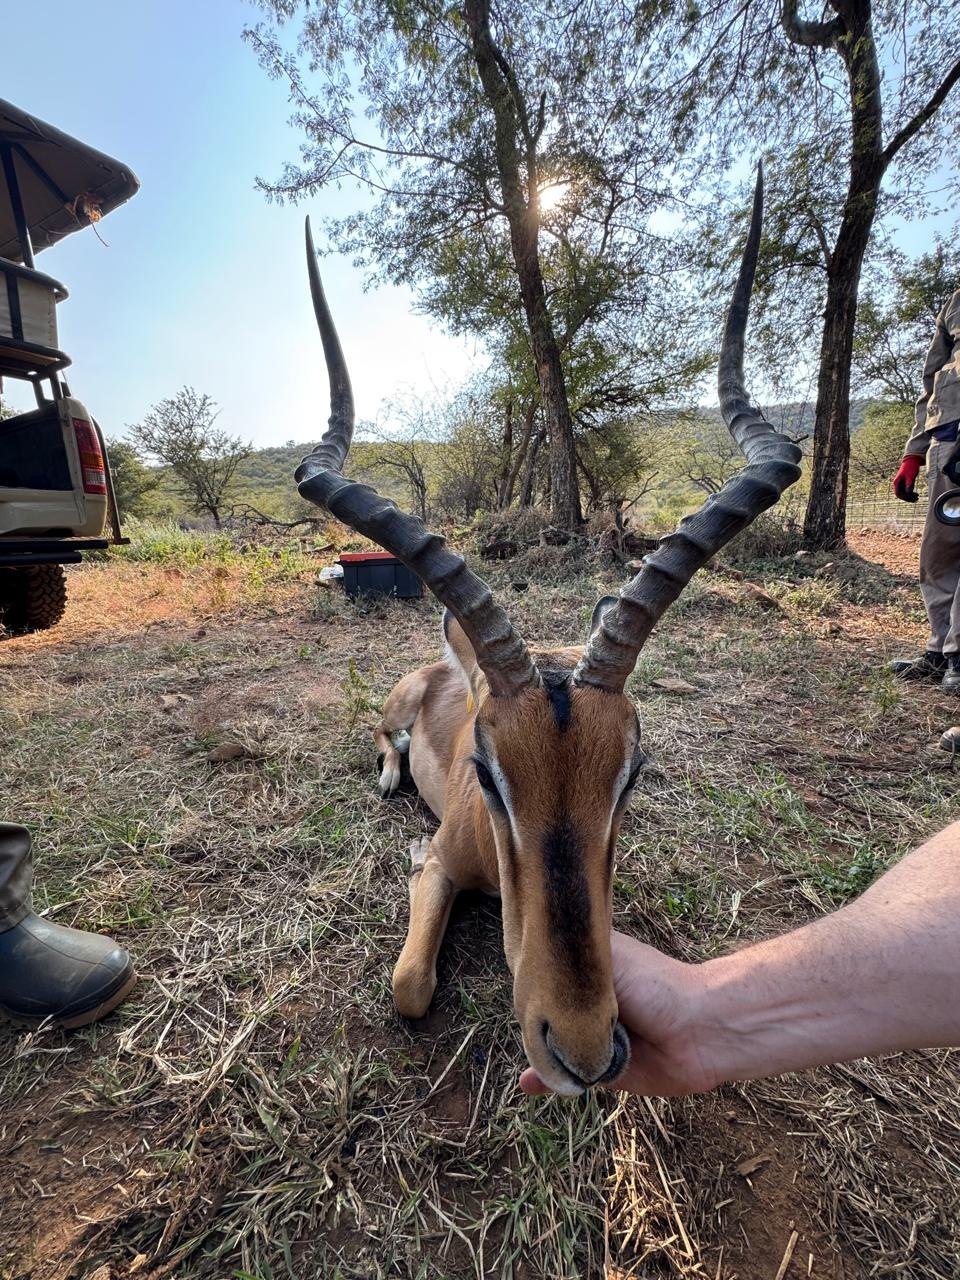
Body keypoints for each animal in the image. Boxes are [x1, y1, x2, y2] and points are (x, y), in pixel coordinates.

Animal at [296, 167, 801, 1095]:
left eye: (633, 772)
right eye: (487, 774)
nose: (585, 1052)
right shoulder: (437, 871)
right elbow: (410, 985)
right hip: (390, 709)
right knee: (381, 741)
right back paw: (387, 778)